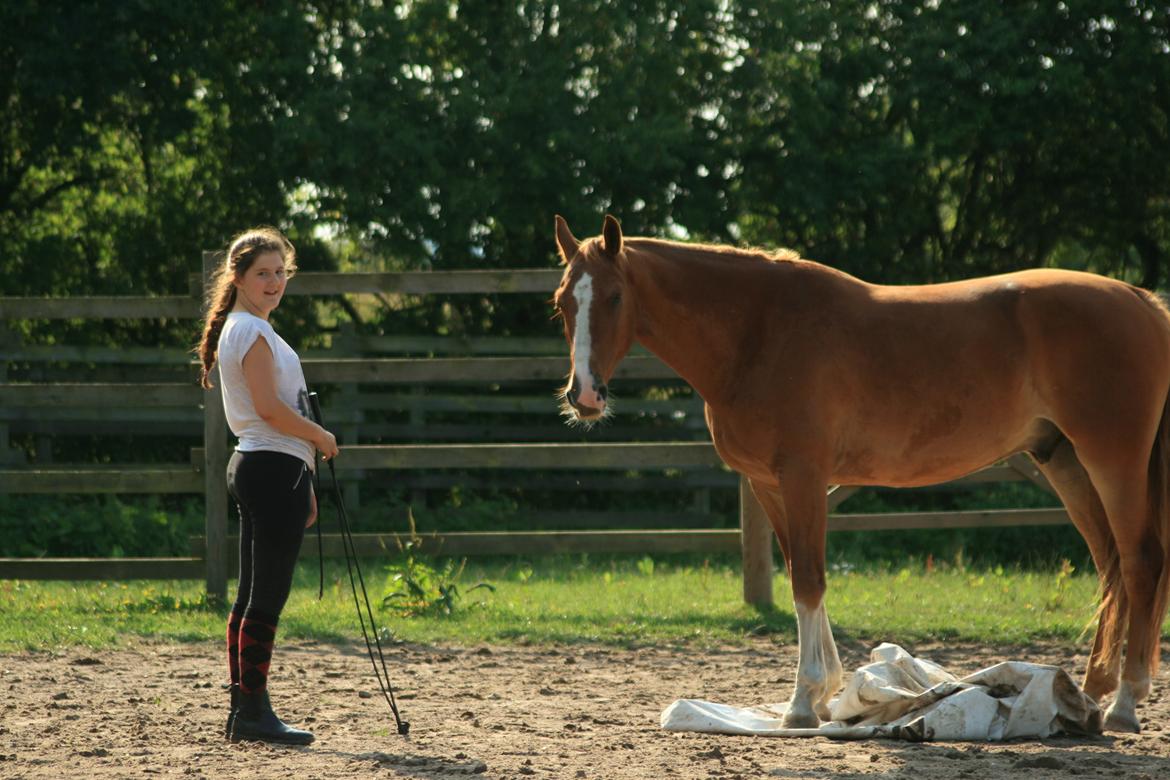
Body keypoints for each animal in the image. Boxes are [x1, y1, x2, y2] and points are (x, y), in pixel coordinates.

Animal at [549, 211, 1170, 734]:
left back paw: (1124, 703)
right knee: (1112, 564)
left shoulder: (803, 477)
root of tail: (1142, 301)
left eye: (614, 296)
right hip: (1064, 462)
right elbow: (801, 574)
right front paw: (825, 695)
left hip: (1111, 460)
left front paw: (803, 703)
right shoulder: (770, 485)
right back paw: (1091, 693)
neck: (758, 331)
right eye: (561, 304)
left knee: (1141, 562)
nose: (585, 396)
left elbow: (809, 580)